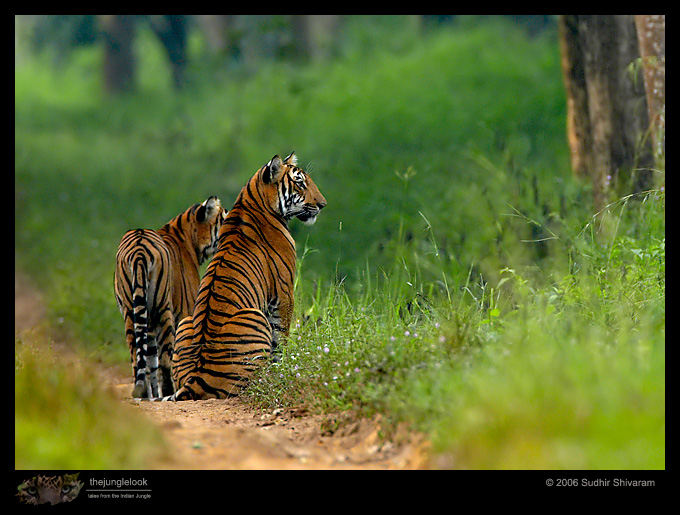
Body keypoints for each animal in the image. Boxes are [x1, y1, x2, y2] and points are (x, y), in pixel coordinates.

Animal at [114, 196, 227, 399]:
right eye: (224, 217)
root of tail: (139, 251)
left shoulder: (148, 326)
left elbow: (150, 362)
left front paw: (153, 393)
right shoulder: (185, 311)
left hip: (130, 313)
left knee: (136, 357)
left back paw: (143, 393)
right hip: (163, 311)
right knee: (166, 360)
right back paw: (169, 392)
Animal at [164, 152, 327, 401]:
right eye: (300, 183)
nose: (322, 204)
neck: (251, 201)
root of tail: (196, 378)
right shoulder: (284, 293)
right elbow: (281, 337)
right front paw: (284, 369)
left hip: (185, 322)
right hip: (253, 315)